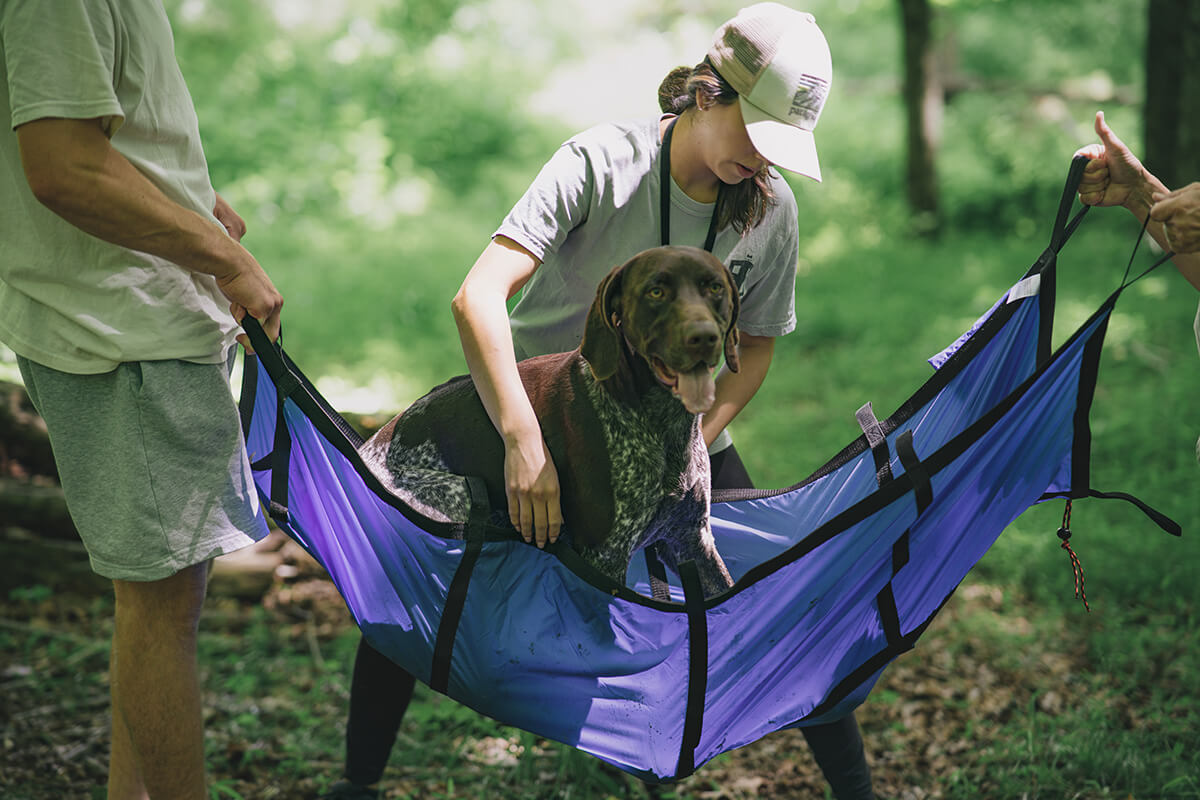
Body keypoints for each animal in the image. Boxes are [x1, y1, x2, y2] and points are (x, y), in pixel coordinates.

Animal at [355, 247, 734, 597]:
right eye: (656, 292)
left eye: (715, 288)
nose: (704, 337)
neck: (660, 421)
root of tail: (369, 447)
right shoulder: (605, 555)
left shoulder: (692, 539)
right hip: (457, 493)